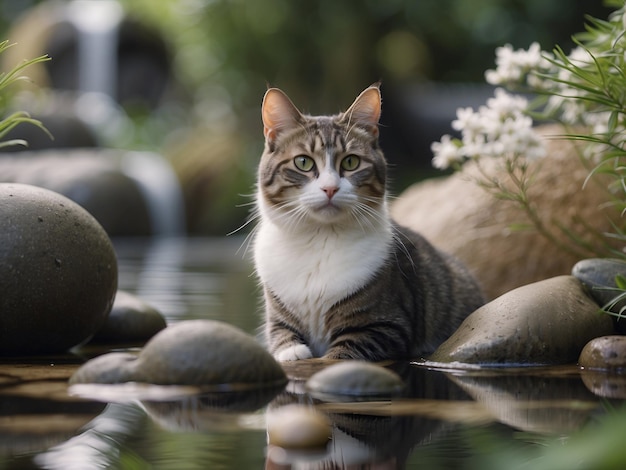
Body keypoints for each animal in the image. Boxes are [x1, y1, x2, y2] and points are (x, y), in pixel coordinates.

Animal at [251, 84, 486, 362]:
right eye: (303, 162)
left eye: (351, 161)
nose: (330, 188)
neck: (319, 237)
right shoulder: (277, 315)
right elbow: (280, 335)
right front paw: (292, 352)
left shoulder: (384, 324)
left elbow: (343, 353)